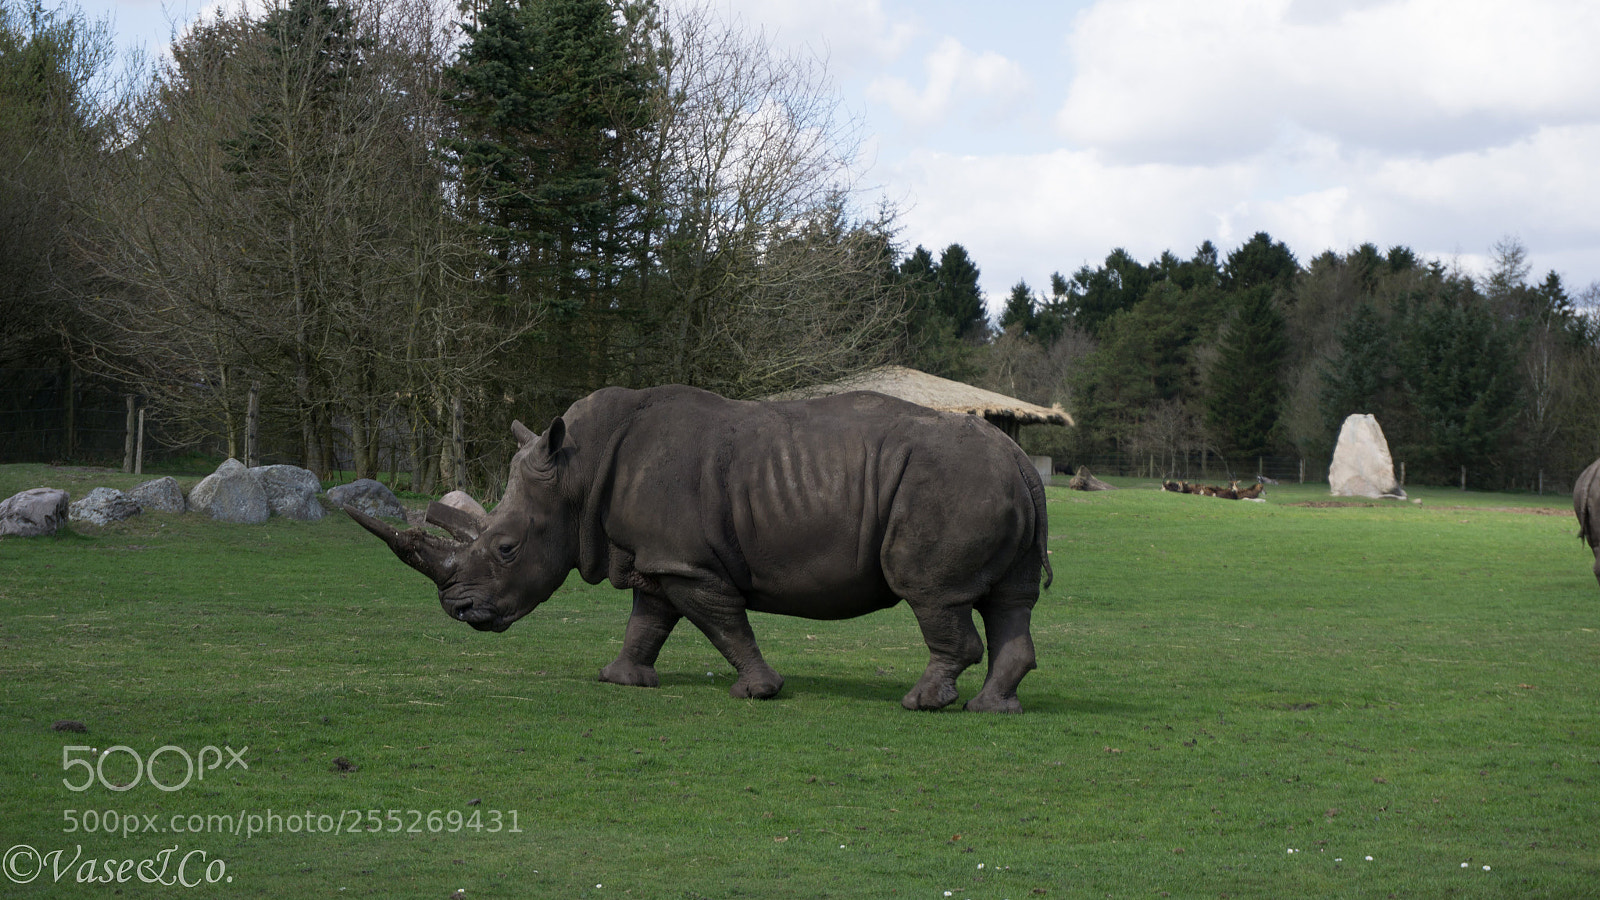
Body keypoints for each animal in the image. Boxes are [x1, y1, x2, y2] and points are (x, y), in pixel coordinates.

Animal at [348, 384, 1052, 712]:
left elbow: (721, 622)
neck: (577, 475)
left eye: (505, 548)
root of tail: (1020, 458)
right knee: (1009, 599)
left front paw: (758, 692)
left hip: (949, 484)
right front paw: (621, 679)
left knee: (932, 594)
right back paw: (994, 707)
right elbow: (649, 621)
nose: (459, 611)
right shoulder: (658, 557)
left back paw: (921, 704)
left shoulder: (686, 563)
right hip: (993, 482)